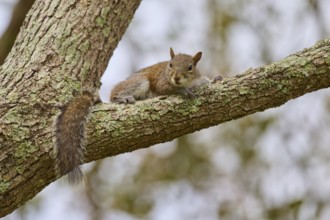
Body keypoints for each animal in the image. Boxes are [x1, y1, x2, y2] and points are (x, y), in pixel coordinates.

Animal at [55, 47, 223, 183]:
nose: (176, 78)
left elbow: (204, 82)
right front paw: (183, 91)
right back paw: (123, 98)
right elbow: (168, 89)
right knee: (114, 95)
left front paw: (216, 78)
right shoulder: (162, 83)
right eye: (170, 64)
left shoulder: (197, 81)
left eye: (190, 67)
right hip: (140, 81)